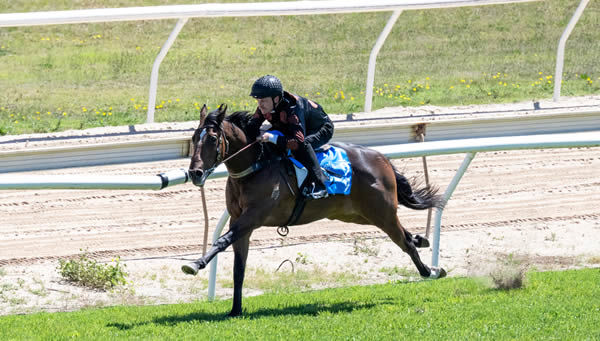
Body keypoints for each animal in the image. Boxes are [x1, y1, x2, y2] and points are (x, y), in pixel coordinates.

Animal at [182, 103, 446, 316]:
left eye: (212, 139)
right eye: (194, 138)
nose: (195, 173)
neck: (256, 166)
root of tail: (382, 159)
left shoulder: (252, 217)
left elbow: (221, 241)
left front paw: (194, 264)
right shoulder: (240, 221)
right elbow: (239, 268)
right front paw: (235, 310)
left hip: (381, 213)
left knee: (404, 242)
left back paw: (430, 271)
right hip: (357, 215)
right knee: (404, 234)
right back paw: (422, 240)